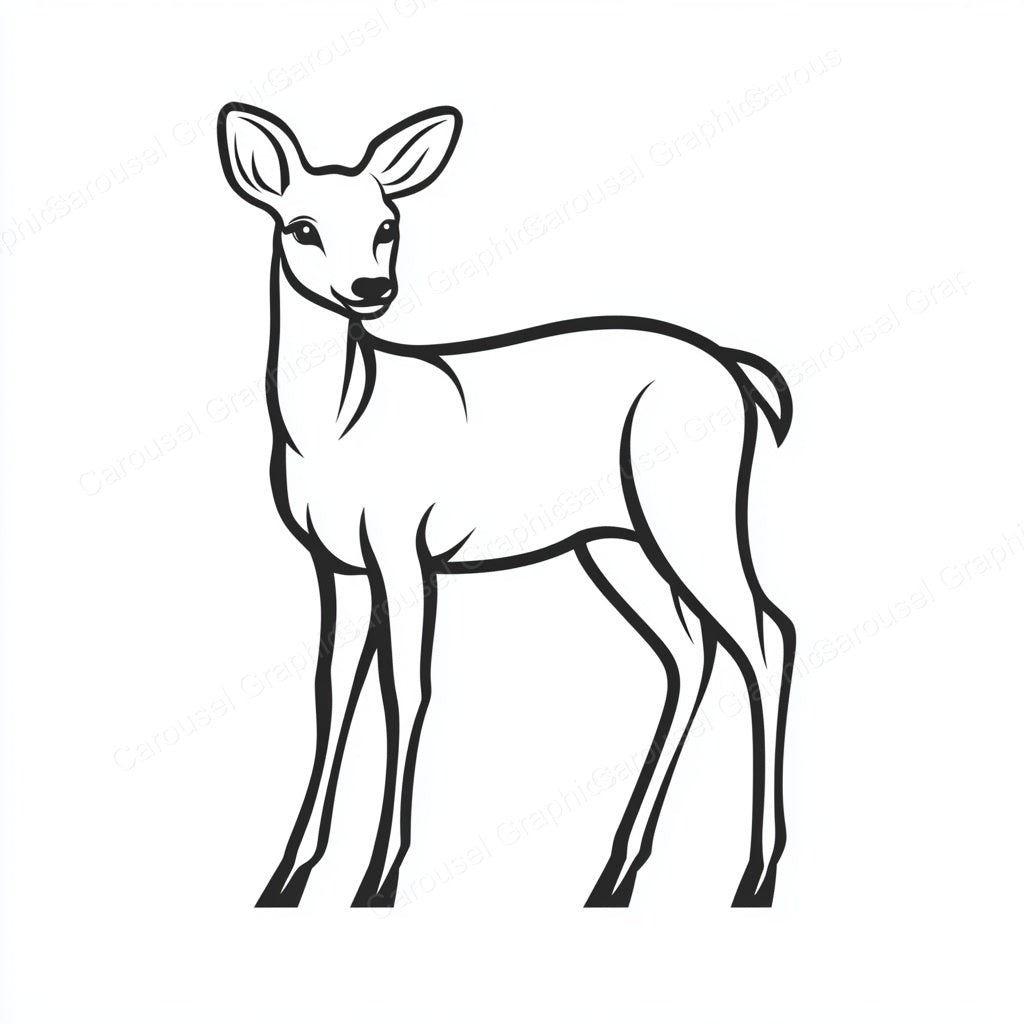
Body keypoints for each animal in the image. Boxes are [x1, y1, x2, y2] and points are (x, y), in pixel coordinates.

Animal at [217, 101, 797, 910]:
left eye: (388, 223)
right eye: (300, 226)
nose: (370, 288)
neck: (340, 424)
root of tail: (739, 373)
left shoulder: (403, 547)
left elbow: (408, 690)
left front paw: (378, 881)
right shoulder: (336, 565)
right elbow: (332, 694)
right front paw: (285, 880)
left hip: (691, 511)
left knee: (767, 637)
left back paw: (755, 877)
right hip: (614, 541)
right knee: (690, 653)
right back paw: (614, 877)